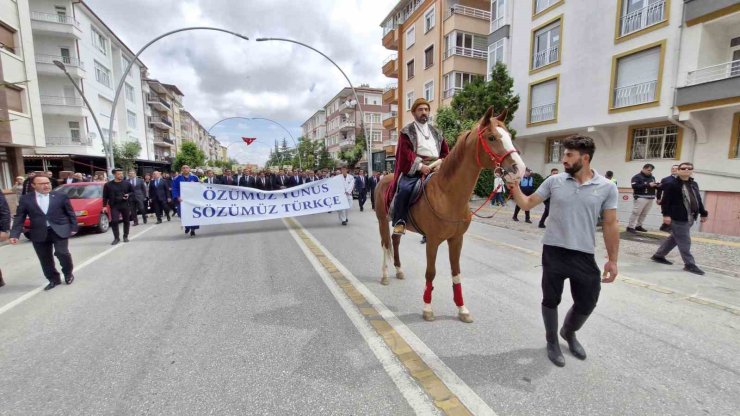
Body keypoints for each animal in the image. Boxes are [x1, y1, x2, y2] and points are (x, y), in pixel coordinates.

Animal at [376, 106, 528, 322]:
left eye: (508, 135)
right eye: (491, 137)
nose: (520, 169)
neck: (447, 194)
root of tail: (382, 178)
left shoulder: (456, 239)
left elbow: (456, 272)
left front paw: (462, 308)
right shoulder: (432, 241)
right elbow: (430, 272)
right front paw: (427, 308)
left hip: (398, 222)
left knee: (394, 241)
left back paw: (398, 270)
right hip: (382, 220)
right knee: (385, 244)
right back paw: (385, 275)